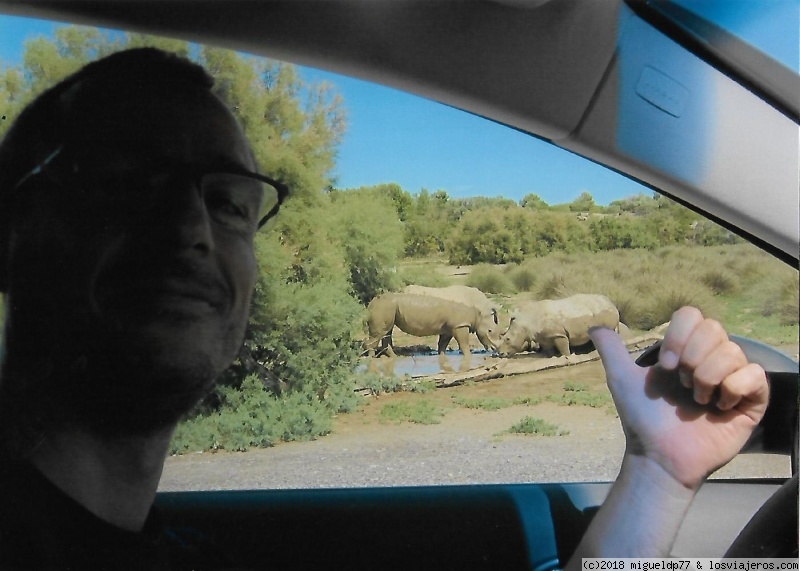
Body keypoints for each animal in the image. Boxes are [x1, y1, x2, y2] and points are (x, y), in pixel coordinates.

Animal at [364, 292, 500, 374]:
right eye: (490, 331)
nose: (496, 350)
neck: (478, 316)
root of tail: (370, 303)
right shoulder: (460, 325)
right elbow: (464, 345)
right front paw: (468, 357)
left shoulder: (448, 328)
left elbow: (443, 344)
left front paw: (442, 357)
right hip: (383, 307)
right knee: (379, 333)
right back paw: (371, 359)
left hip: (388, 308)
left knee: (387, 331)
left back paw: (394, 357)